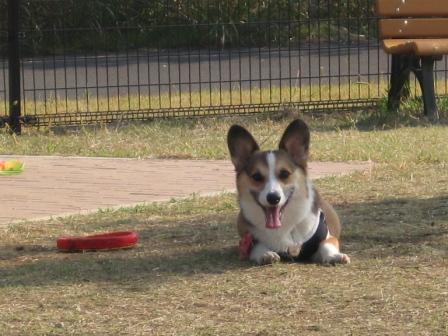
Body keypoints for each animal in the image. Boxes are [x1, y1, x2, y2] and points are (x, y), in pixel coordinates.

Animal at [228, 119, 350, 266]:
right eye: (257, 177)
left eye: (285, 174)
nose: (273, 198)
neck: (283, 225)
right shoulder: (250, 239)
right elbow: (258, 247)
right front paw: (266, 254)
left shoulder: (327, 237)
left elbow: (327, 244)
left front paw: (335, 256)